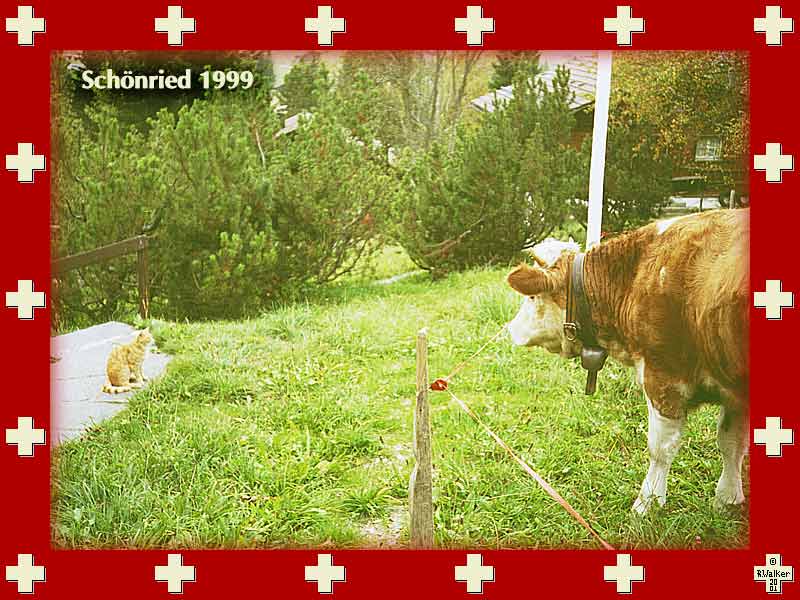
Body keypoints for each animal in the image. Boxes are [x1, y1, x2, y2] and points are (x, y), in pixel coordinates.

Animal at [506, 209, 749, 514]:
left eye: (532, 296)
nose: (511, 329)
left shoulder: (663, 378)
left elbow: (660, 449)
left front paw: (647, 504)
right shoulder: (735, 397)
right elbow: (731, 443)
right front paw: (727, 499)